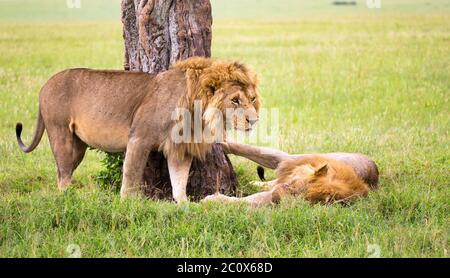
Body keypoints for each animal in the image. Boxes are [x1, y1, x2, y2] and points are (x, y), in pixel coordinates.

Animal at [16, 57, 260, 203]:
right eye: (235, 100)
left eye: (252, 99)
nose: (255, 120)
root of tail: (44, 86)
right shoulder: (139, 137)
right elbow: (131, 174)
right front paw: (126, 203)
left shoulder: (180, 147)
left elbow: (179, 180)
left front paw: (185, 205)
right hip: (60, 134)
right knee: (63, 173)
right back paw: (68, 199)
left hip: (78, 146)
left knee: (63, 171)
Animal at [202, 142, 378, 205]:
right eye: (292, 184)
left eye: (299, 198)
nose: (276, 198)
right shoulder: (286, 160)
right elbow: (251, 149)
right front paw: (221, 143)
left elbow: (248, 201)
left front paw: (213, 200)